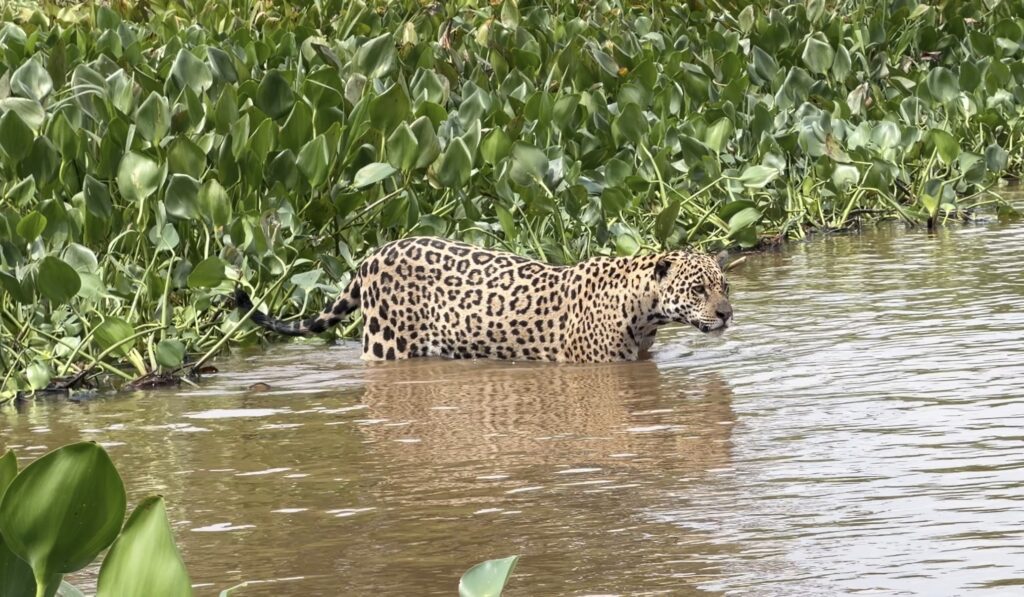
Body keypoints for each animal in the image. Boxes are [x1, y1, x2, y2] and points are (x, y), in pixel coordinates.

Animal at [233, 236, 733, 362]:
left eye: (724, 287)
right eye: (697, 289)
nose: (728, 314)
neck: (645, 312)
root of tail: (371, 255)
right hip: (384, 346)